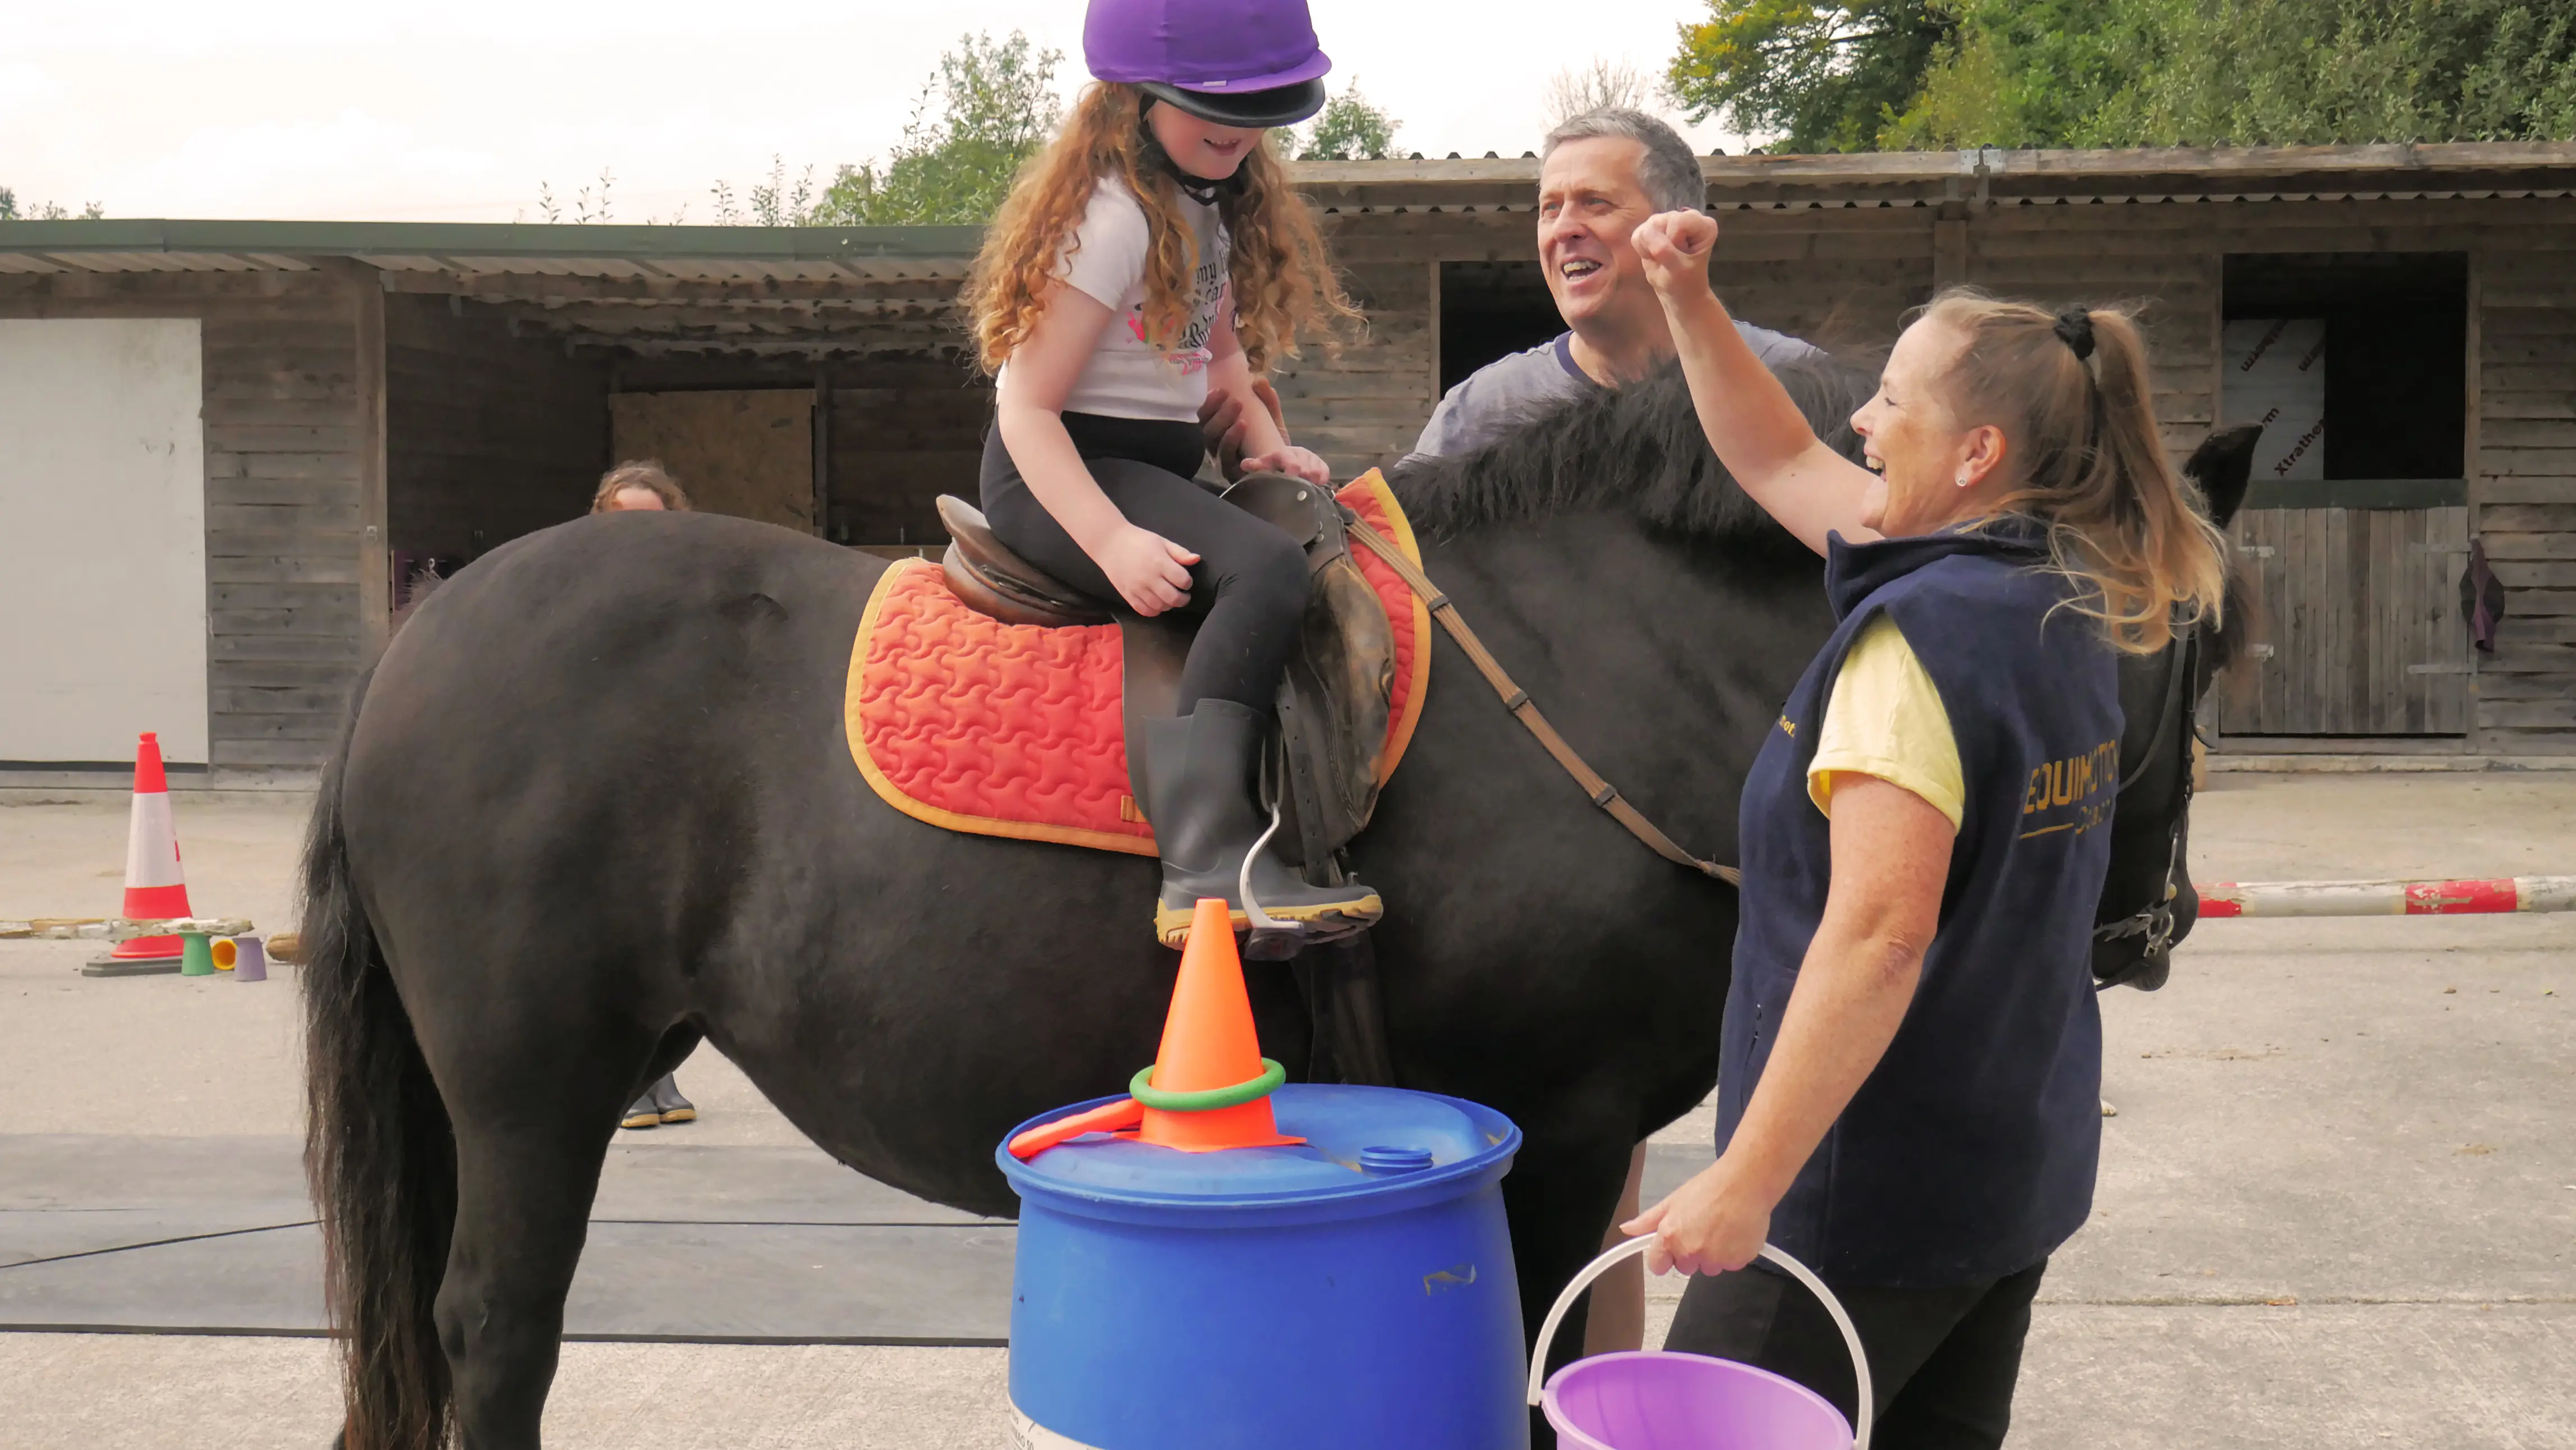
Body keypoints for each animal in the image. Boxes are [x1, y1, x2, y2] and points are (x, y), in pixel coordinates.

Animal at [297, 355, 2244, 1449]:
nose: (2147, 937)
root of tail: (421, 638)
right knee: (496, 1333)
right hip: (536, 1086)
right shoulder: (1553, 1129)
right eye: (2213, 643)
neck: (1599, 651)